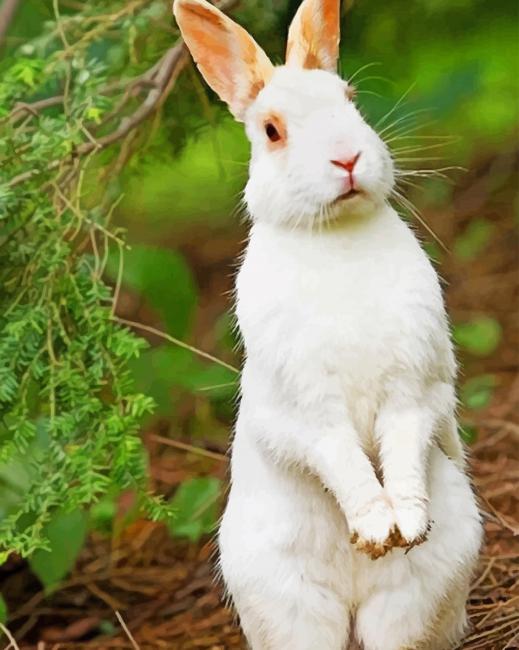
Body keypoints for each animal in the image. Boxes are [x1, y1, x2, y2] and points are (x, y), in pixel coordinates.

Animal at [173, 0, 483, 648]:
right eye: (272, 131)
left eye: (351, 99)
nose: (347, 159)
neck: (336, 236)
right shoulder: (308, 409)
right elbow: (341, 457)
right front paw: (375, 530)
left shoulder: (412, 389)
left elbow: (402, 445)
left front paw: (404, 525)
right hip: (288, 601)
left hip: (419, 590)